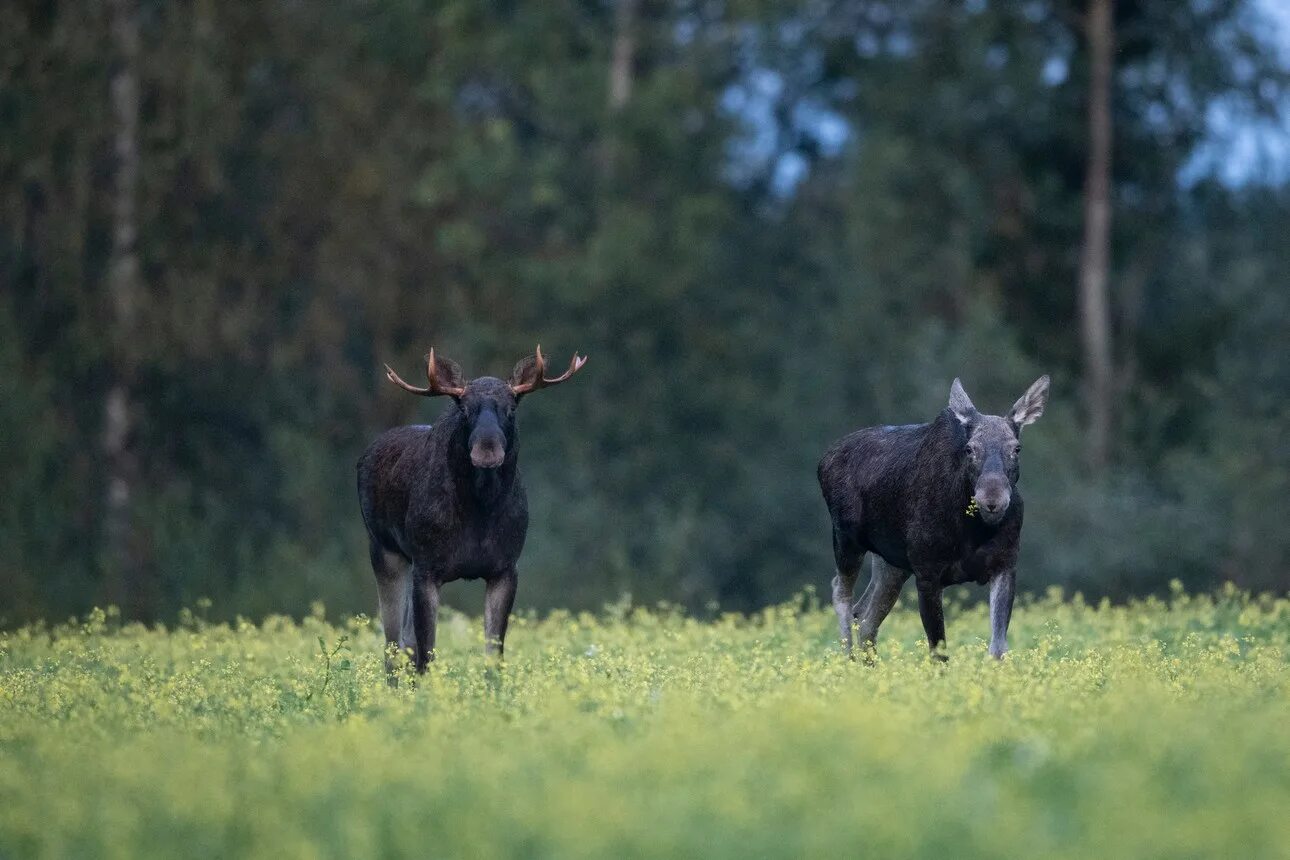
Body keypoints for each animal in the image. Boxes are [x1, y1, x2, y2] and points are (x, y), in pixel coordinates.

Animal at [361, 345, 588, 675]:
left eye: (511, 409)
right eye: (464, 409)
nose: (487, 450)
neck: (479, 512)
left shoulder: (505, 567)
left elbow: (494, 655)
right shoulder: (426, 567)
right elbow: (427, 655)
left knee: (404, 643)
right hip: (384, 550)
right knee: (393, 647)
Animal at [820, 373, 1052, 665]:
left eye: (1016, 448)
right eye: (969, 449)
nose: (992, 500)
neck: (972, 531)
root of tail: (823, 460)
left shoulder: (1005, 564)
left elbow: (998, 649)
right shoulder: (928, 573)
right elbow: (938, 653)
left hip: (892, 562)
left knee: (865, 617)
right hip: (846, 538)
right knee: (841, 592)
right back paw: (847, 660)